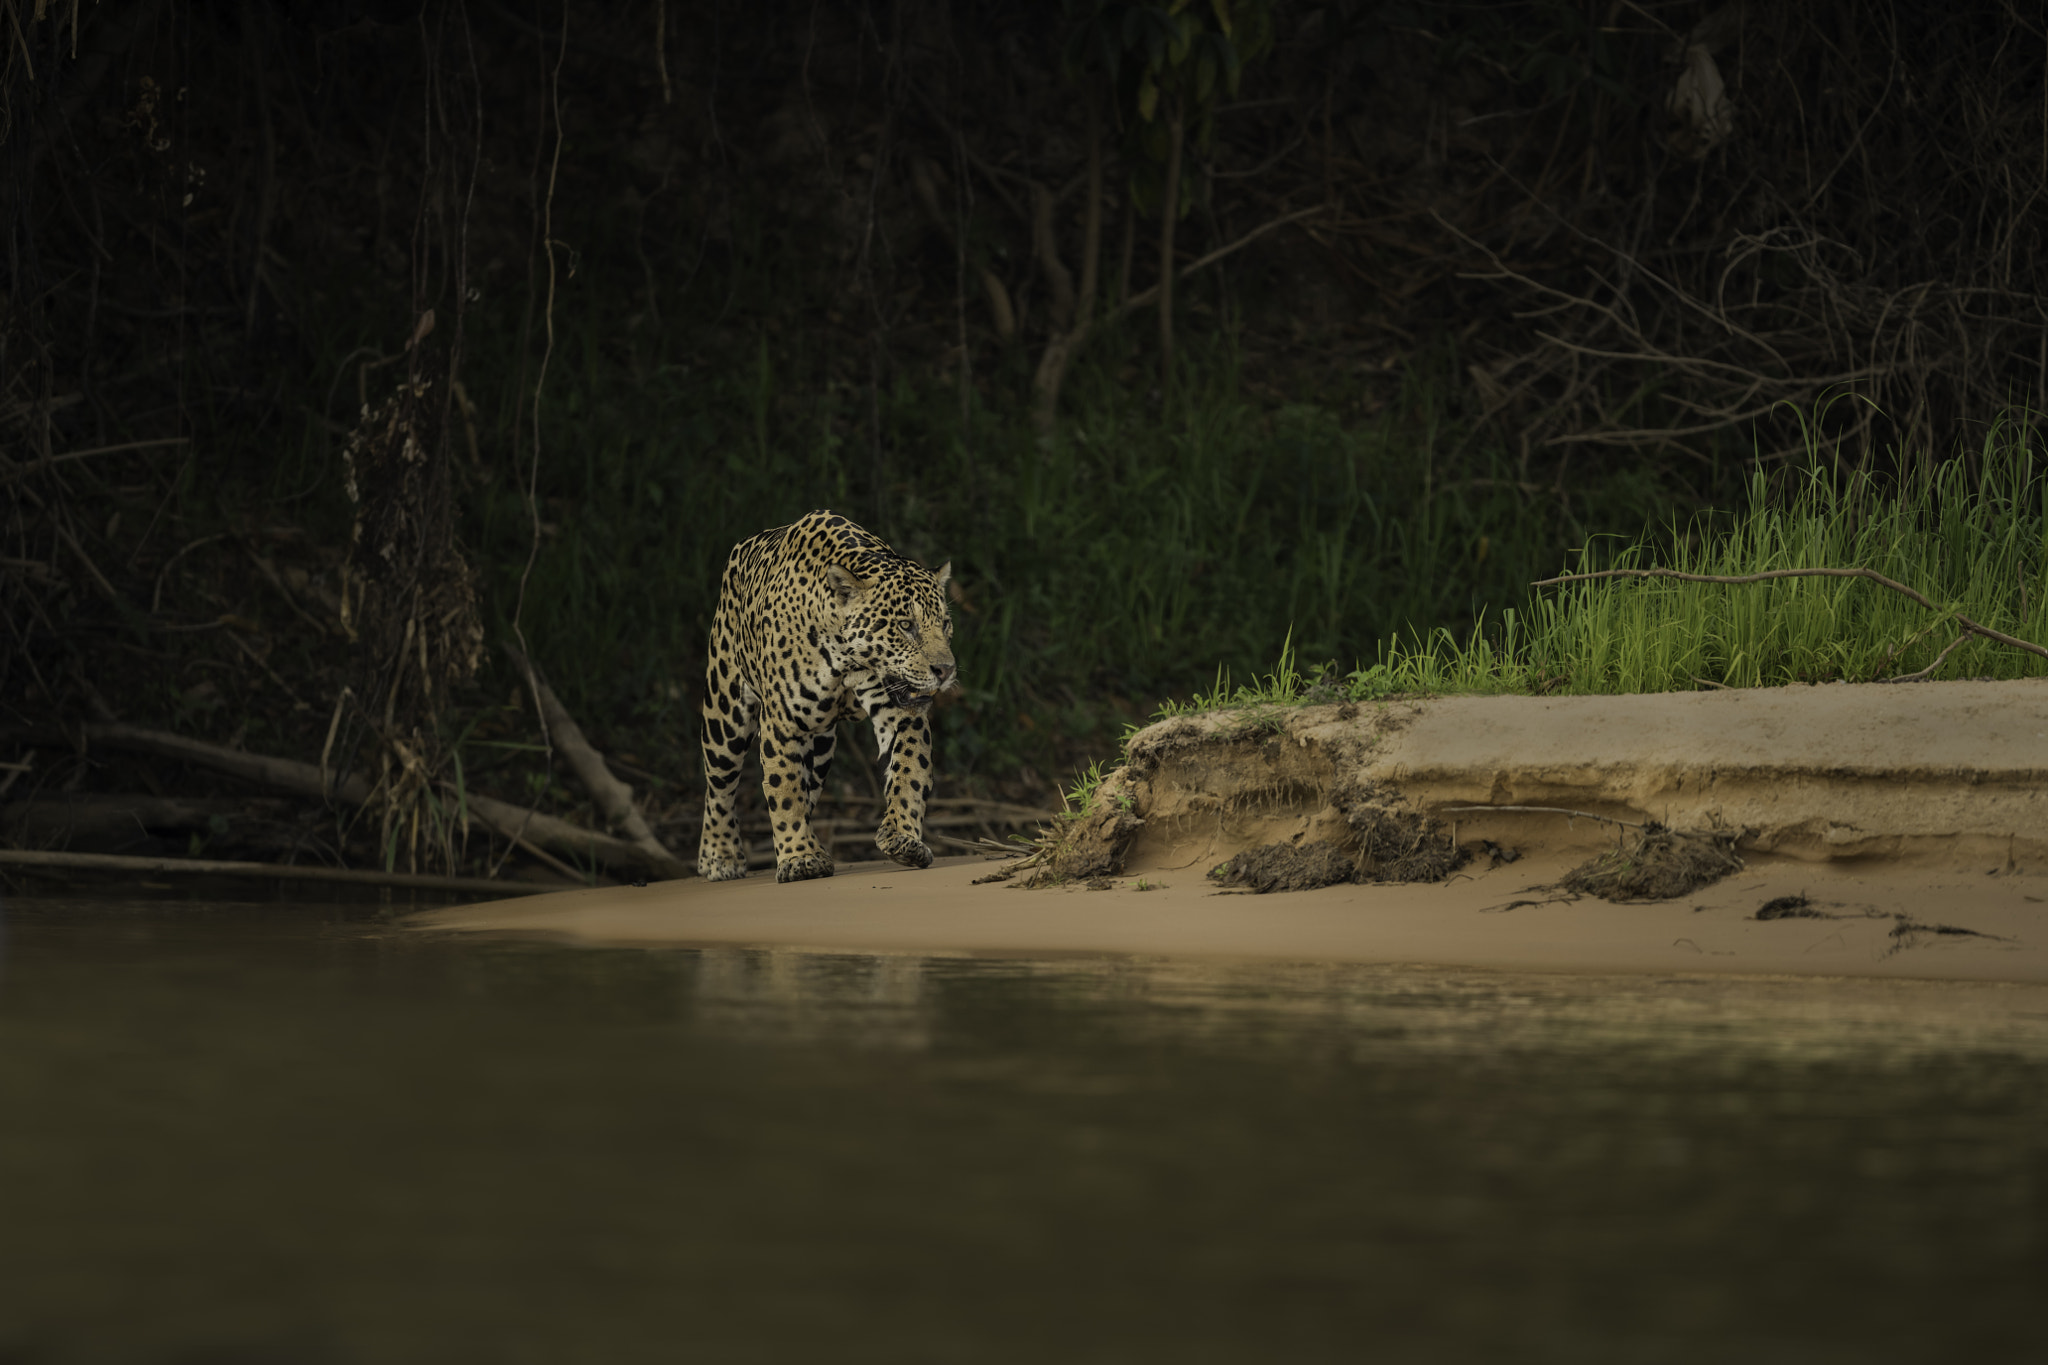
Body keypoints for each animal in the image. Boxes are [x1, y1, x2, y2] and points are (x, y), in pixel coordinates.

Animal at [696, 509, 957, 884]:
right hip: (724, 713)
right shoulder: (781, 723)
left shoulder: (900, 715)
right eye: (906, 625)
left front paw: (903, 837)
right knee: (718, 786)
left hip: (819, 748)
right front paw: (799, 858)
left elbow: (910, 772)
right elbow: (783, 789)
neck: (846, 659)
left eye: (945, 624)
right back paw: (719, 855)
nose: (946, 670)